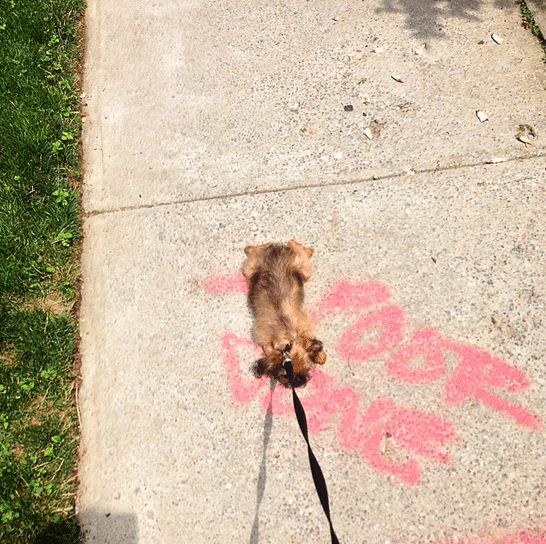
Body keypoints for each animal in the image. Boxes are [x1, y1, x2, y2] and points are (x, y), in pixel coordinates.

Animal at [243, 240, 328, 388]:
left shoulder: (305, 328)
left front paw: (320, 355)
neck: (289, 334)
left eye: (307, 368)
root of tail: (277, 250)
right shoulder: (265, 340)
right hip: (250, 268)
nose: (300, 381)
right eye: (285, 375)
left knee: (296, 246)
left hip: (304, 269)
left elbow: (309, 341)